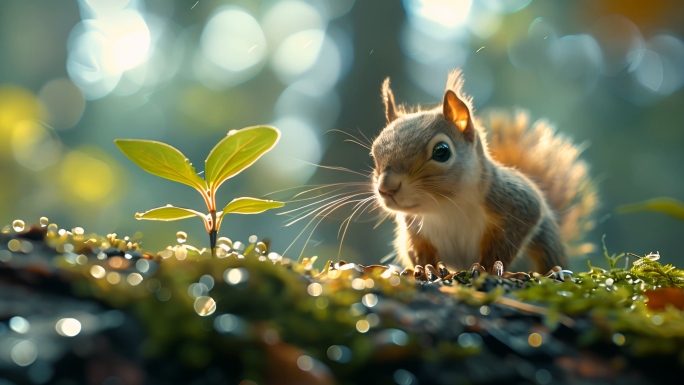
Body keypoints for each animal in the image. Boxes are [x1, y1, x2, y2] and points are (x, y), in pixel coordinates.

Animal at [372, 70, 596, 272]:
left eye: (441, 152)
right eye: (374, 152)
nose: (386, 188)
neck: (445, 206)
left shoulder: (518, 204)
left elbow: (504, 245)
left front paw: (486, 268)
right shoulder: (413, 229)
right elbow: (419, 252)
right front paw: (426, 268)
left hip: (545, 243)